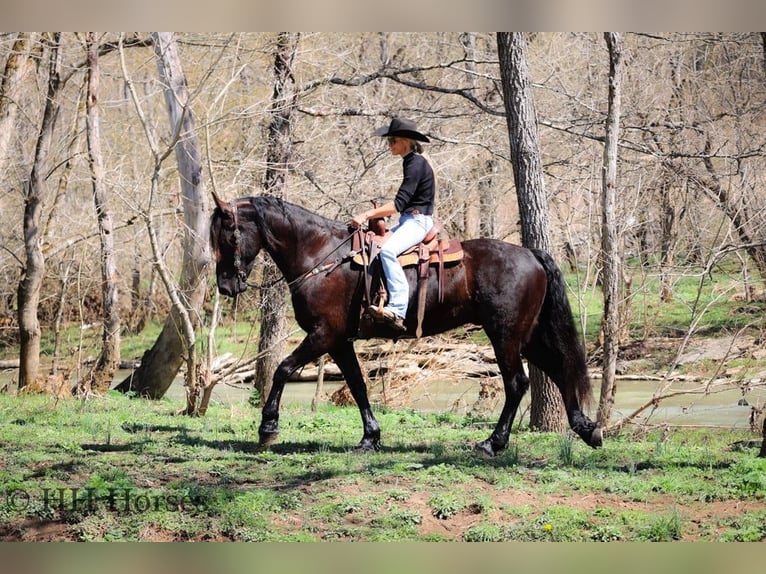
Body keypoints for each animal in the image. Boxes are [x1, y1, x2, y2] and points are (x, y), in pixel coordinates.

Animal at [209, 193, 603, 455]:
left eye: (227, 236)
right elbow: (358, 386)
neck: (321, 256)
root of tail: (529, 254)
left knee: (518, 382)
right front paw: (370, 437)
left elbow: (283, 369)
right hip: (528, 335)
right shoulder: (340, 341)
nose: (226, 286)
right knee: (559, 369)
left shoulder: (323, 334)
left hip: (505, 335)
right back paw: (587, 429)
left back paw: (494, 443)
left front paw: (267, 427)